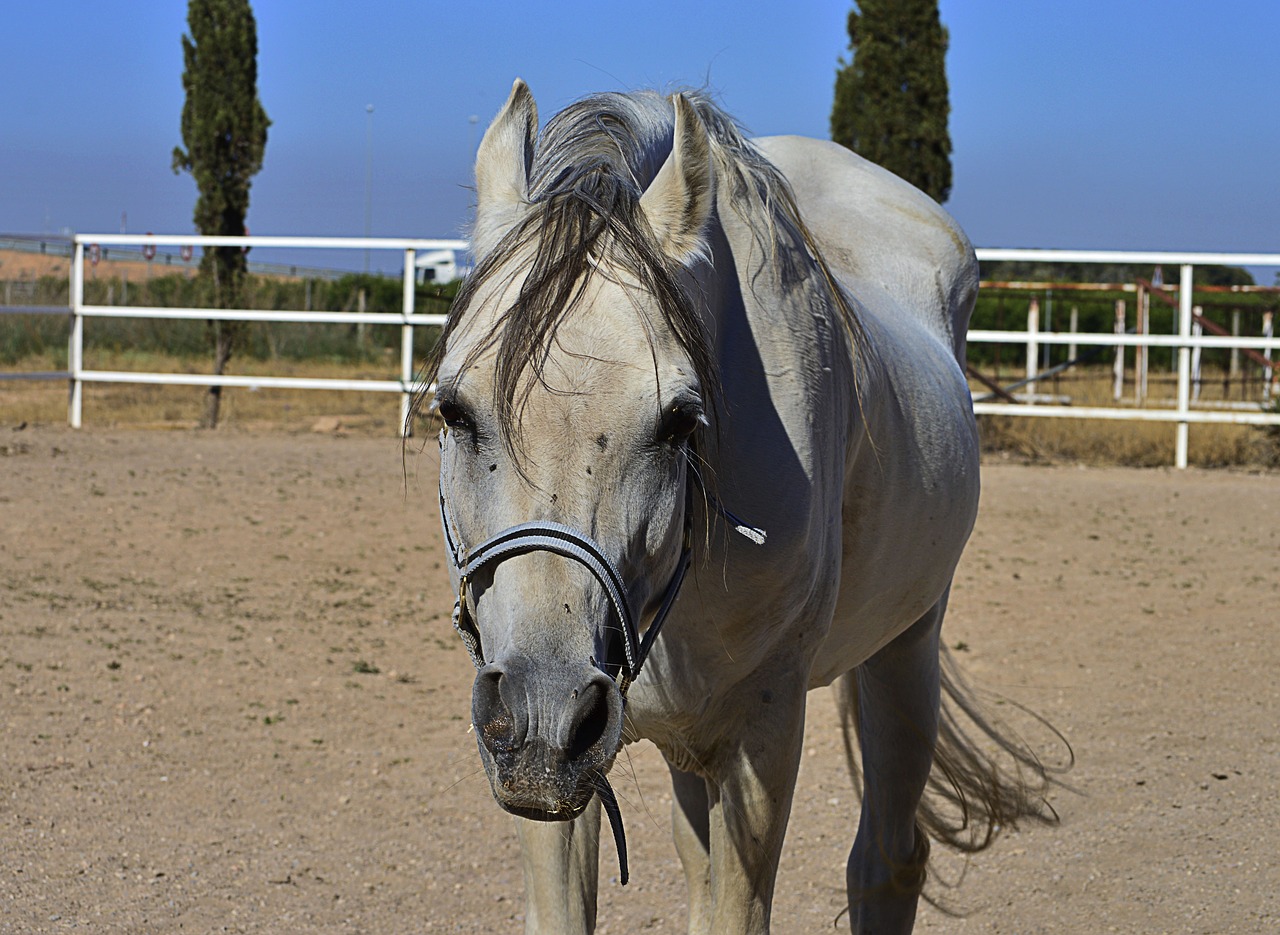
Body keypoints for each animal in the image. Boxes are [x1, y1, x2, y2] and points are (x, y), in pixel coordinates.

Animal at [419, 81, 1059, 932]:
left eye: (679, 421)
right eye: (456, 410)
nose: (544, 713)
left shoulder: (762, 734)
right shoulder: (561, 779)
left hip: (906, 648)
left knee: (888, 859)